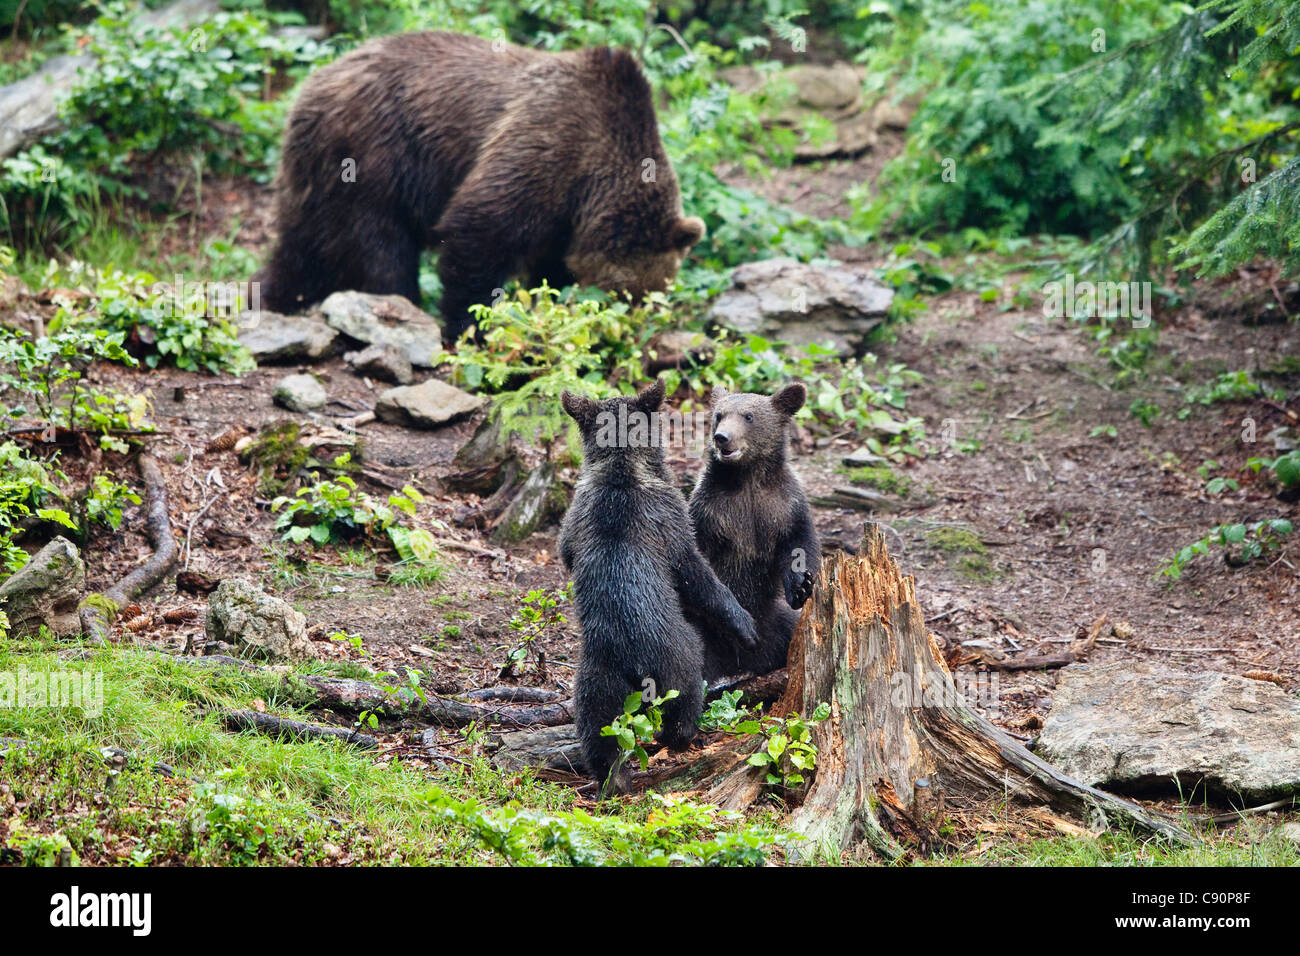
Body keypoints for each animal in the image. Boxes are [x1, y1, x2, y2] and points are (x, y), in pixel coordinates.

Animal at [252, 32, 702, 340]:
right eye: (625, 295)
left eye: (653, 296)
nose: (629, 331)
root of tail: (309, 88)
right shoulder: (548, 144)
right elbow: (480, 227)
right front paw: (473, 326)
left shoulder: (564, 216)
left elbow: (548, 265)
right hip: (372, 155)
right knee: (378, 245)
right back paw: (397, 302)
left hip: (315, 179)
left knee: (302, 248)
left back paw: (271, 295)